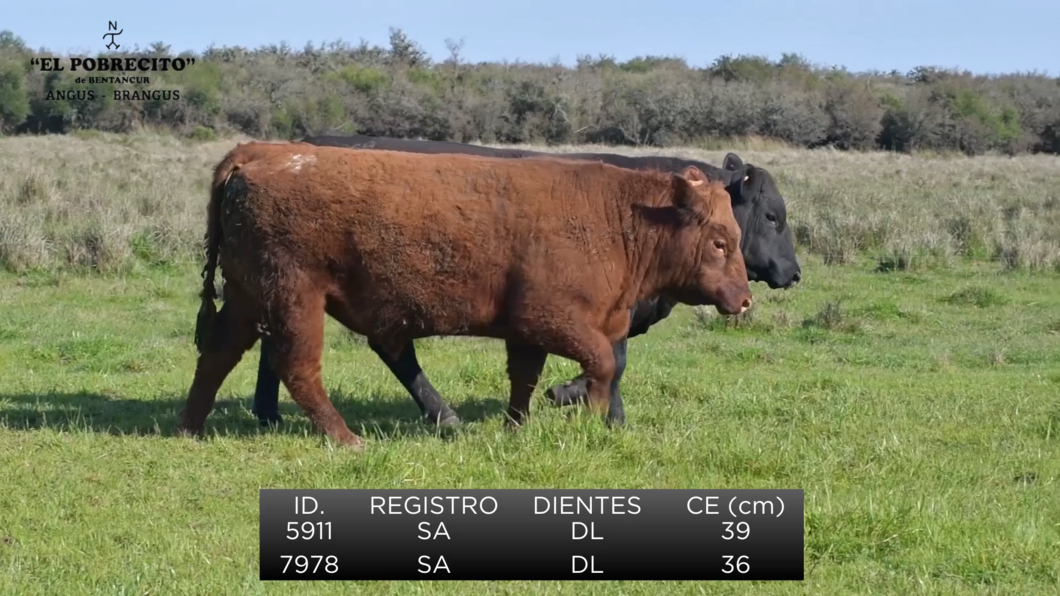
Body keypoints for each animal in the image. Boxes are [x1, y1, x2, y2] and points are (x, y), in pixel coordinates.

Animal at [242, 133, 801, 426]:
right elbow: (611, 362)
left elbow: (606, 361)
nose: (794, 273)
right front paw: (584, 402)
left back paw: (269, 414)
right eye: (773, 216)